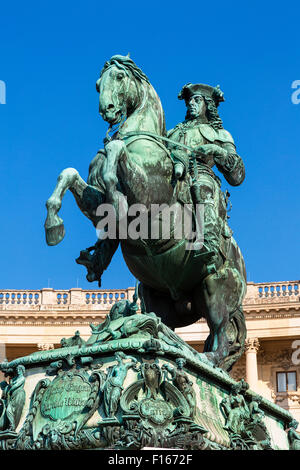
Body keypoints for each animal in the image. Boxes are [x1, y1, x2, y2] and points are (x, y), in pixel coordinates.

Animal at [44, 54, 246, 370]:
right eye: (98, 83)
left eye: (119, 78)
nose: (107, 110)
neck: (139, 138)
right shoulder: (94, 201)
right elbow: (69, 173)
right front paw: (53, 225)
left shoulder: (149, 191)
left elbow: (116, 152)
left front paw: (117, 196)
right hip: (157, 296)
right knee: (164, 326)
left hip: (215, 288)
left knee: (220, 335)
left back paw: (206, 358)